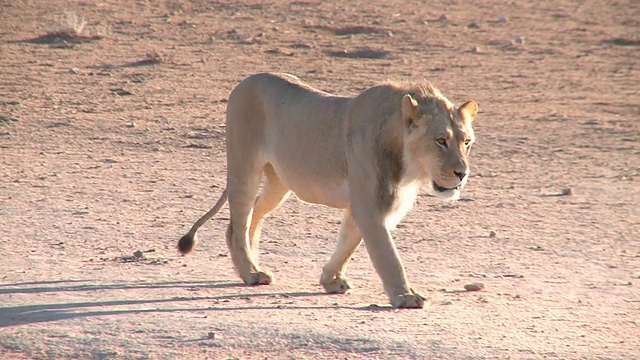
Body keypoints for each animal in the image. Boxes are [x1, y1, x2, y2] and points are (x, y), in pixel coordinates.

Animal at [178, 73, 478, 310]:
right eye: (440, 140)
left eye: (467, 142)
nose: (462, 174)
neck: (407, 163)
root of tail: (244, 81)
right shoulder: (368, 206)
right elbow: (388, 256)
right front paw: (405, 296)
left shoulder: (368, 206)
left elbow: (347, 243)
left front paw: (330, 280)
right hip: (244, 167)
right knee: (239, 223)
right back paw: (251, 272)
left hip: (278, 184)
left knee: (249, 218)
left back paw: (252, 266)